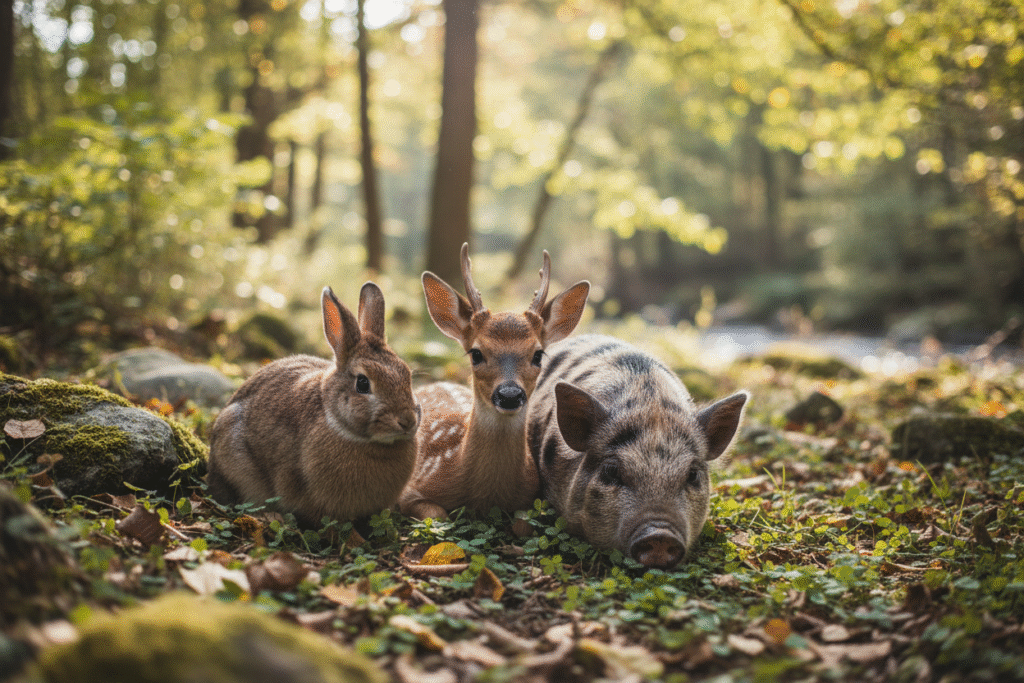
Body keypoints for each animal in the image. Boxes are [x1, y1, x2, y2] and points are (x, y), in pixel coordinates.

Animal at [398, 244, 590, 520]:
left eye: (538, 354)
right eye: (476, 353)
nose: (509, 394)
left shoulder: (529, 499)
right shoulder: (411, 488)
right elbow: (438, 515)